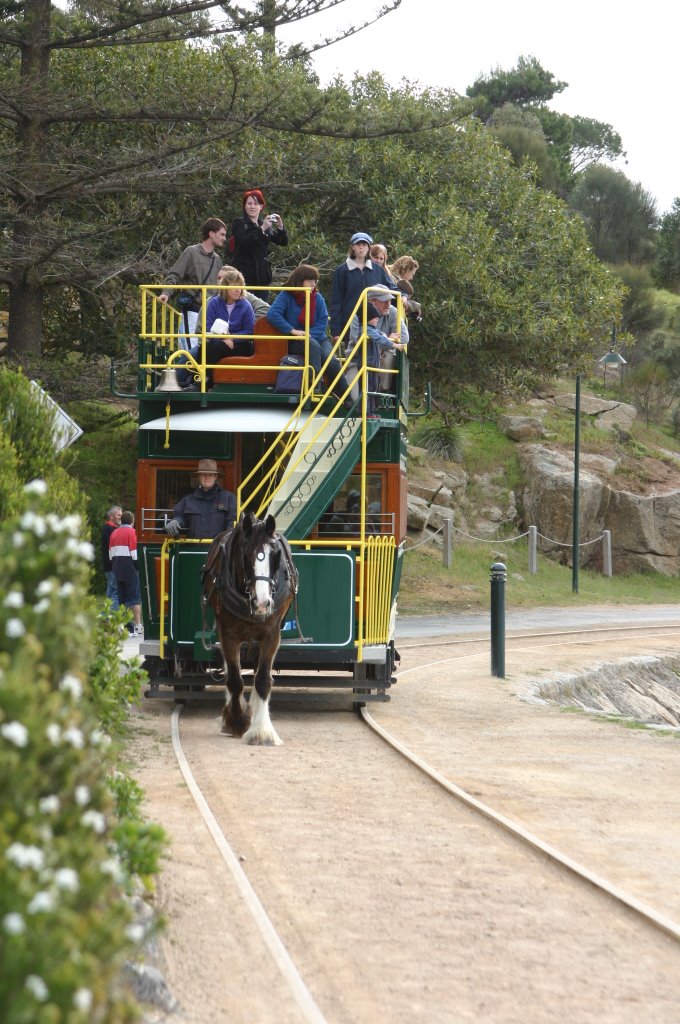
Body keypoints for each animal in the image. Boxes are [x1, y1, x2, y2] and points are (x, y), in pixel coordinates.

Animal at [201, 512, 296, 745]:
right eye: (246, 556)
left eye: (274, 556)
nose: (262, 603)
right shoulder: (228, 635)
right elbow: (235, 680)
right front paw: (236, 721)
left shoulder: (271, 635)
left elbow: (262, 680)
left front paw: (262, 731)